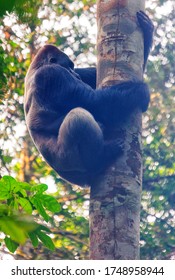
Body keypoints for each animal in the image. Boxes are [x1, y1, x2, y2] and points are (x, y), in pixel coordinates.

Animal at [24, 10, 153, 187]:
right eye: (68, 66)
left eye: (73, 67)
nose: (75, 74)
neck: (37, 66)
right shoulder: (53, 74)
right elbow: (95, 103)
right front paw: (141, 90)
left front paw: (148, 32)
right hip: (68, 159)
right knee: (79, 117)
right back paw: (100, 157)